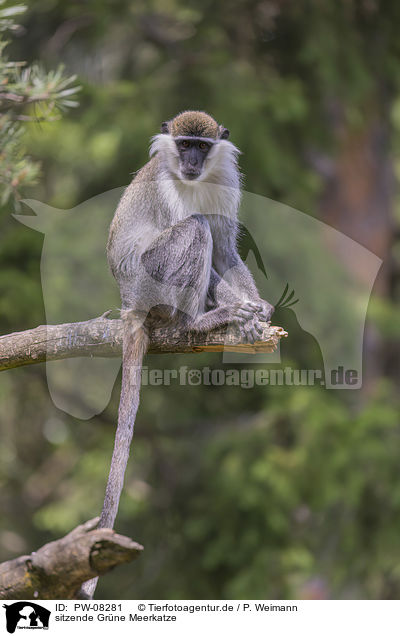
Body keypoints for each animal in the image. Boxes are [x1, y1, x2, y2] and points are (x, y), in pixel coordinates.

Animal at [81, 113, 276, 596]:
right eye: (184, 143)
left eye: (201, 147)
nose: (189, 162)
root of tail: (130, 304)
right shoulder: (169, 194)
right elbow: (203, 239)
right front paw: (237, 311)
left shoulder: (226, 181)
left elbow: (225, 251)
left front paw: (257, 310)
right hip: (150, 280)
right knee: (194, 229)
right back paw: (197, 322)